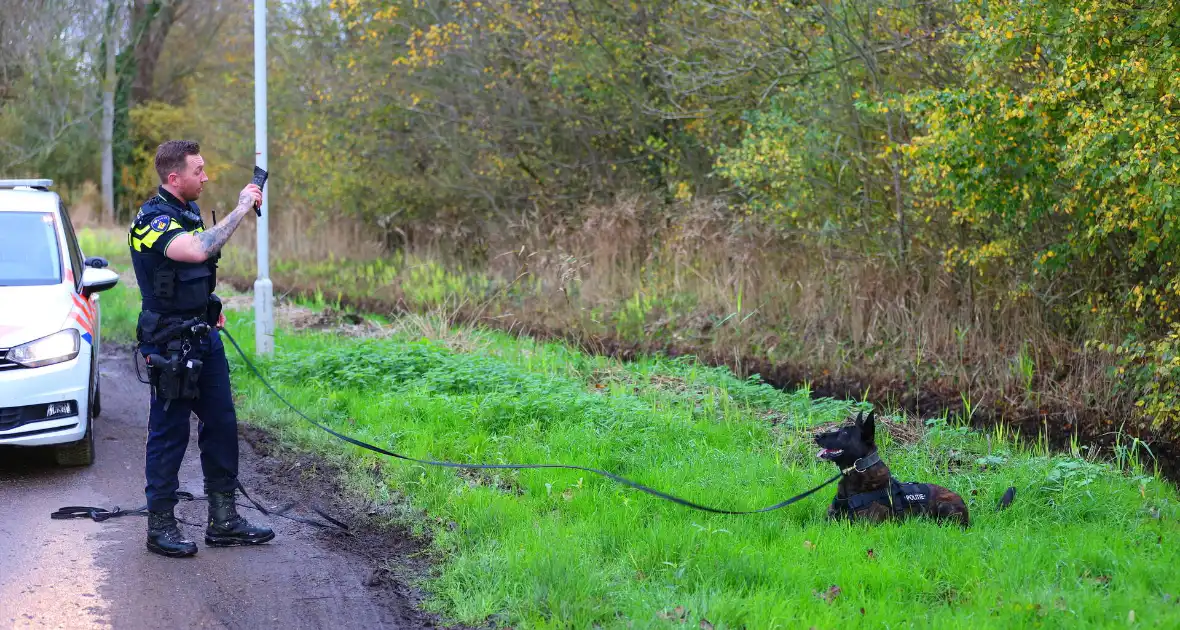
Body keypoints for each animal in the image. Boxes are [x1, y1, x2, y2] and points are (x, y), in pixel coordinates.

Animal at [816, 412, 972, 530]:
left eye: (844, 433)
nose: (816, 436)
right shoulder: (828, 518)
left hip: (944, 506)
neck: (858, 471)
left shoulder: (862, 524)